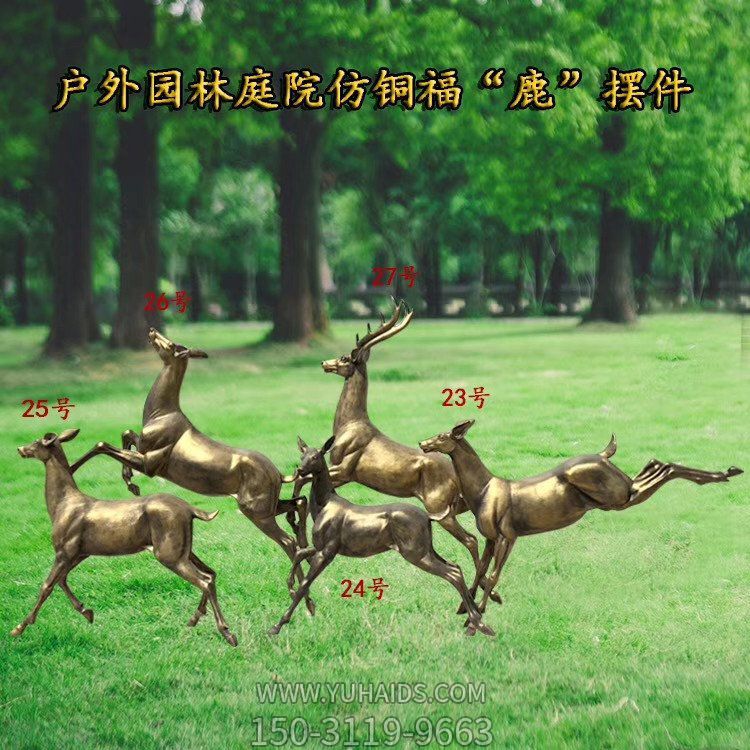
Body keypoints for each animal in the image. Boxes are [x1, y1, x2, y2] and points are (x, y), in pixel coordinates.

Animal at [13, 429, 238, 646]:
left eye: (36, 442)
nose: (20, 449)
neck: (63, 503)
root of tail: (191, 510)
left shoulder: (64, 552)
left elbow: (46, 586)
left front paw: (18, 628)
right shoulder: (79, 554)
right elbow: (61, 581)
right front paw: (87, 612)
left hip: (169, 554)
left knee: (204, 581)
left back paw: (228, 634)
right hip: (183, 550)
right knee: (211, 574)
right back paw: (195, 619)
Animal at [69, 327, 314, 615]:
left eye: (172, 345)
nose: (152, 331)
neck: (162, 413)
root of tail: (278, 474)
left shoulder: (151, 465)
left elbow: (101, 445)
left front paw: (71, 468)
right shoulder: (143, 451)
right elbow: (126, 434)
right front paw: (130, 482)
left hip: (255, 512)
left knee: (288, 542)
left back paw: (302, 597)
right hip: (265, 505)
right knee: (299, 503)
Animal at [268, 436, 495, 638]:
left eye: (316, 456)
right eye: (303, 454)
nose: (299, 470)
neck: (325, 504)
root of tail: (427, 517)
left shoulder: (328, 552)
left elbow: (305, 583)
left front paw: (277, 625)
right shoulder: (321, 547)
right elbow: (299, 554)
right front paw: (291, 587)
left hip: (415, 554)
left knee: (453, 573)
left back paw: (480, 625)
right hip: (425, 550)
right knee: (456, 567)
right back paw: (474, 617)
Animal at [307, 300, 501, 608]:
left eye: (346, 357)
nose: (325, 363)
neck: (350, 423)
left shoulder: (345, 470)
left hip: (439, 508)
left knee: (471, 539)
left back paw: (479, 598)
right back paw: (489, 595)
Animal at [419, 419, 743, 623]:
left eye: (443, 436)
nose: (422, 443)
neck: (484, 489)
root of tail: (604, 454)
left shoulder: (507, 536)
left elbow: (494, 574)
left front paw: (477, 616)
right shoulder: (490, 539)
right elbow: (480, 570)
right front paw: (466, 608)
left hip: (617, 498)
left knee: (665, 468)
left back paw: (725, 473)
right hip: (621, 492)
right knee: (656, 465)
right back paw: (724, 473)